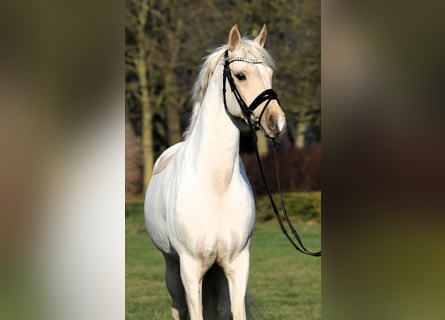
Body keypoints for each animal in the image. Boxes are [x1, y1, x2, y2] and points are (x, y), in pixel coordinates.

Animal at [144, 25, 286, 320]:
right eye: (241, 75)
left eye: (270, 73)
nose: (276, 122)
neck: (215, 186)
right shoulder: (190, 267)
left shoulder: (237, 263)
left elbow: (235, 311)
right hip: (172, 268)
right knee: (178, 307)